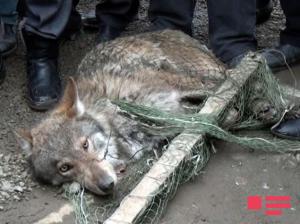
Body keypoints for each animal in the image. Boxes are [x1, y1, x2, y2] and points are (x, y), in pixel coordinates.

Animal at [15, 30, 274, 196]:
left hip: (201, 74)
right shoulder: (172, 121)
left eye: (85, 145)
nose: (107, 185)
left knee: (237, 76)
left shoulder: (179, 90)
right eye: (64, 168)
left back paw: (263, 104)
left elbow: (223, 104)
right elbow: (213, 117)